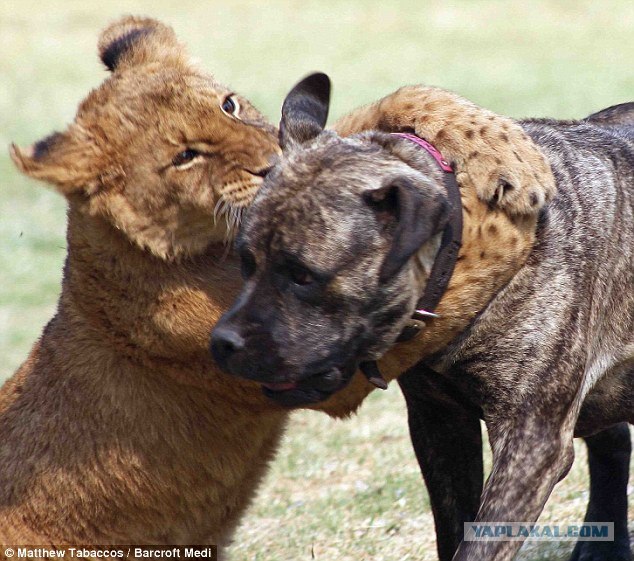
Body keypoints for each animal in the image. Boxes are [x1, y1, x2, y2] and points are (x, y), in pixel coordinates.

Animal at [1, 15, 552, 552]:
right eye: (186, 156)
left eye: (229, 105)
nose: (271, 167)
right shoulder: (315, 368)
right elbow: (454, 278)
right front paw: (508, 228)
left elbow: (393, 105)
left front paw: (512, 155)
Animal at [214, 75, 632, 560]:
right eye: (246, 261)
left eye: (301, 274)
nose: (221, 342)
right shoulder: (440, 426)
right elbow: (454, 526)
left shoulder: (531, 443)